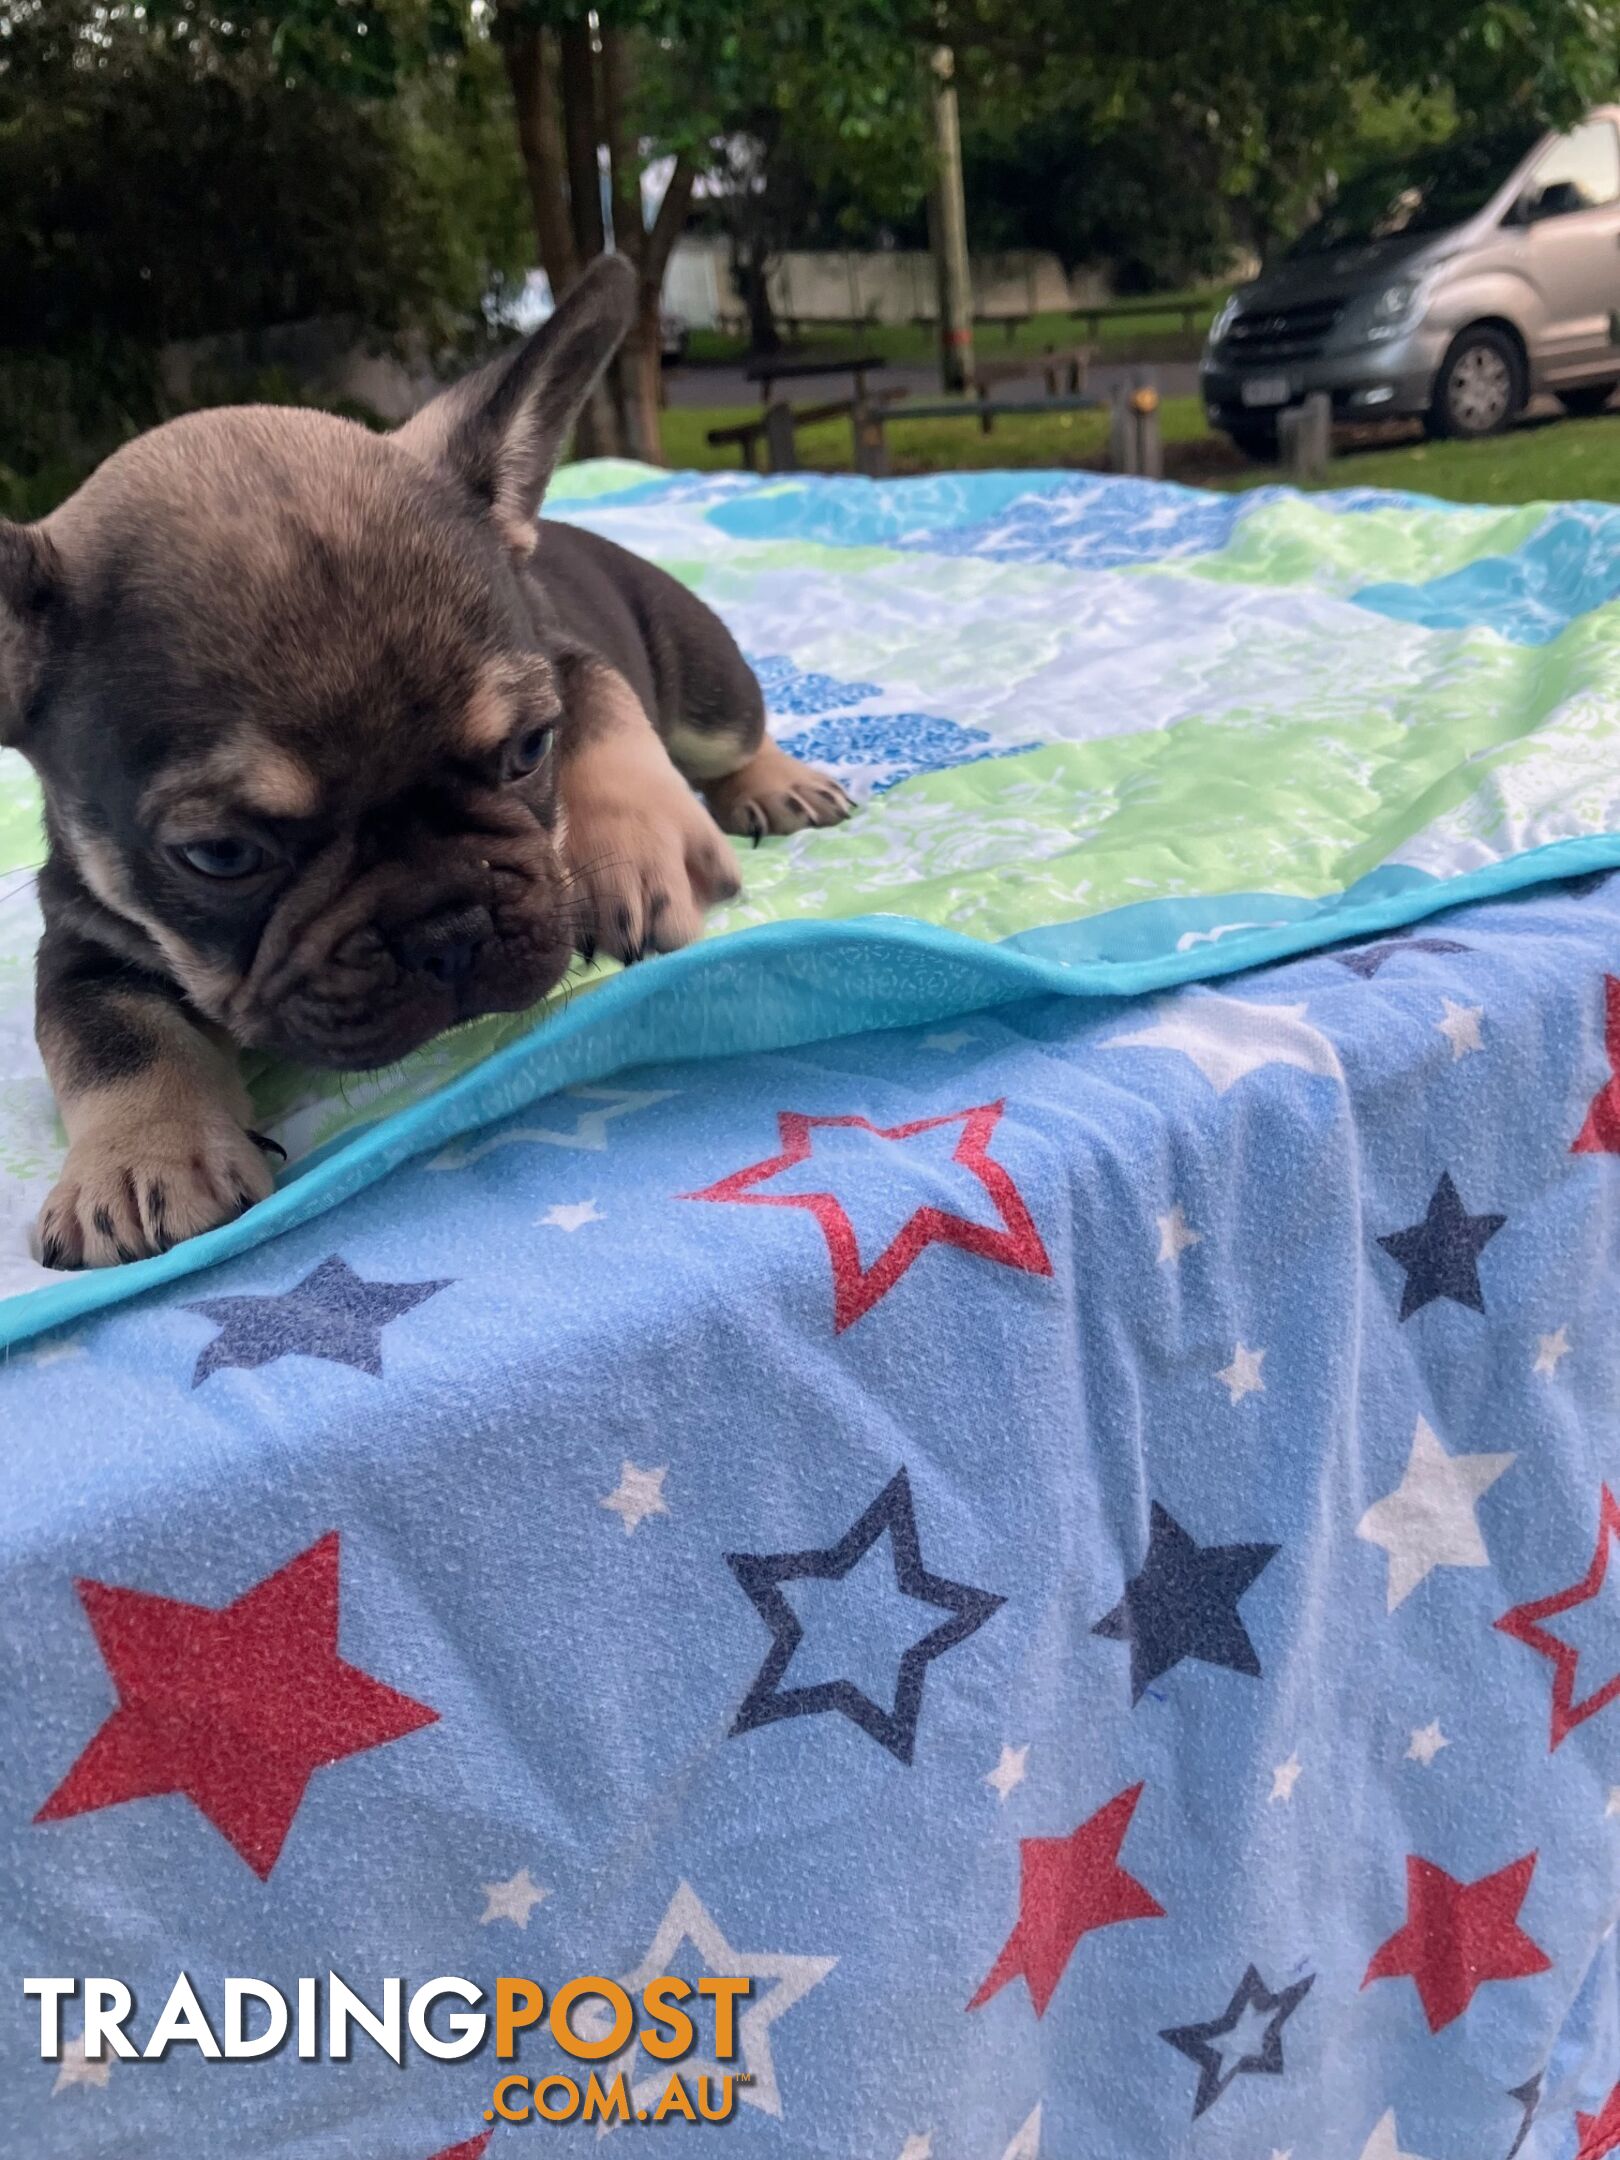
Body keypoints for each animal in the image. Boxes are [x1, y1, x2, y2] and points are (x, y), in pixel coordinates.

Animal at [0, 257, 855, 1261]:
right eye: (220, 856)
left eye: (529, 750)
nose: (450, 929)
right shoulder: (81, 938)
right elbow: (116, 1039)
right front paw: (142, 1159)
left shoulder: (565, 659)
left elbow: (607, 717)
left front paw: (635, 851)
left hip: (702, 677)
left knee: (729, 731)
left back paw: (778, 783)